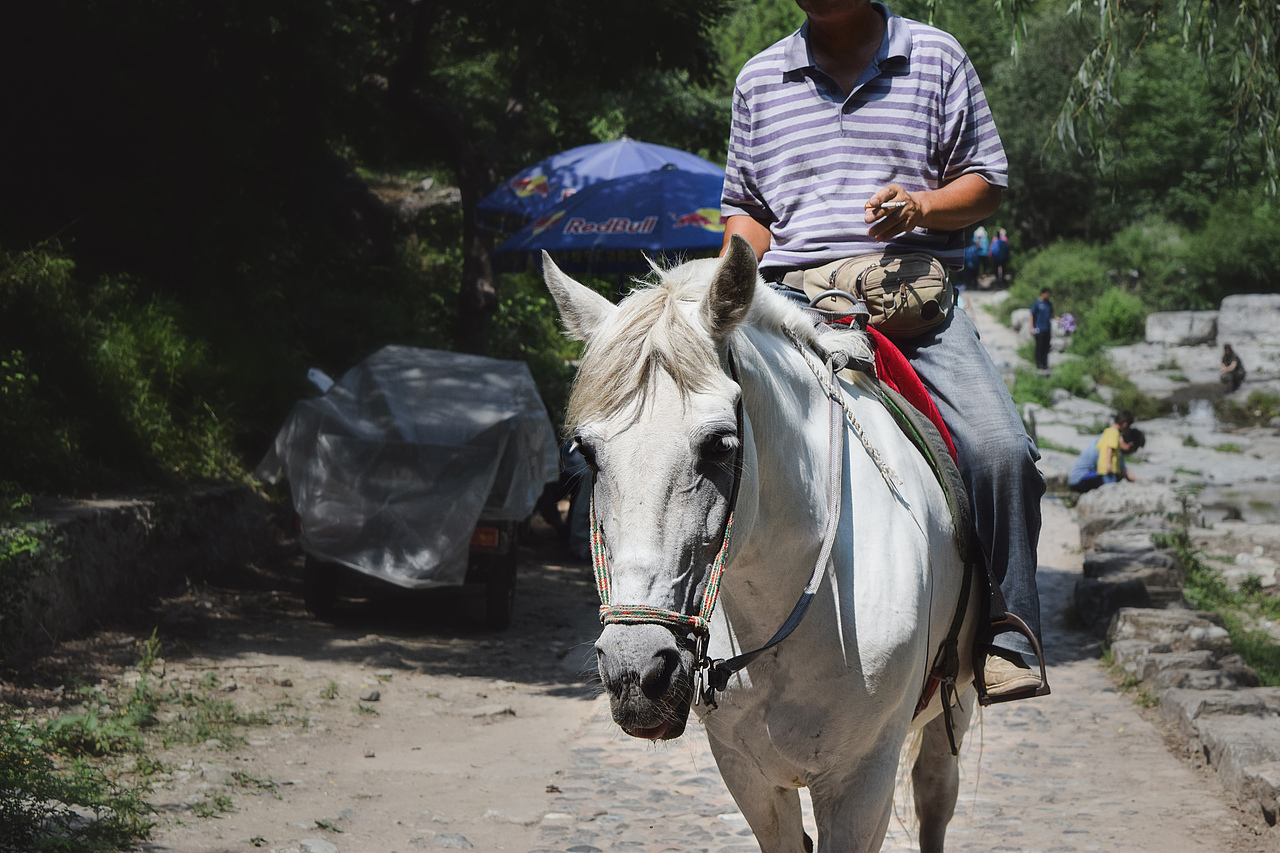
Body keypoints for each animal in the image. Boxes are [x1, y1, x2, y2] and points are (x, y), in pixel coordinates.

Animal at [543, 234, 981, 853]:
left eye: (719, 445)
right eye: (586, 452)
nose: (636, 670)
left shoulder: (862, 784)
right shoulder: (748, 775)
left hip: (955, 701)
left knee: (935, 793)